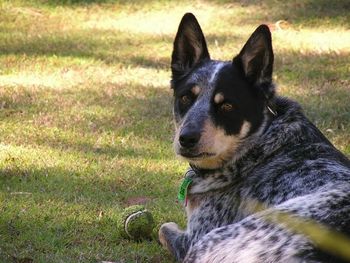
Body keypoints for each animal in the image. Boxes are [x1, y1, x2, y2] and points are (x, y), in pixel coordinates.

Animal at [159, 12, 350, 263]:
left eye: (227, 106)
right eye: (185, 98)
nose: (187, 138)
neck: (259, 142)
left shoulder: (193, 238)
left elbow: (164, 227)